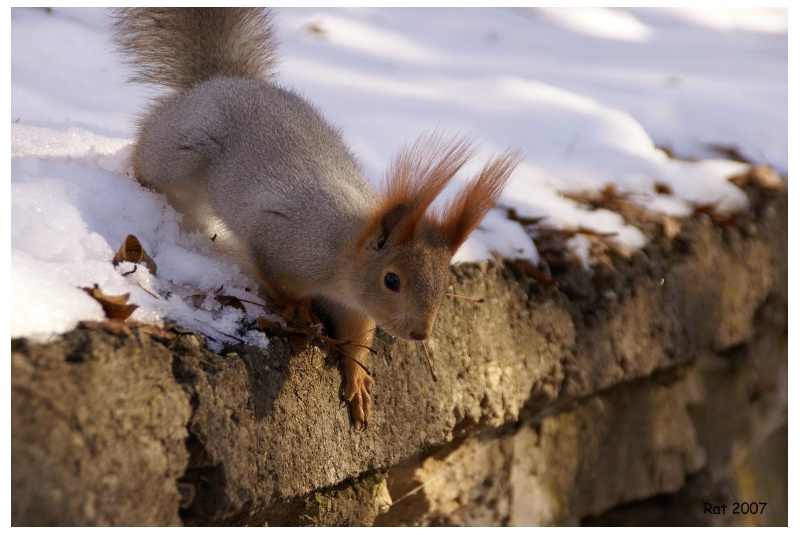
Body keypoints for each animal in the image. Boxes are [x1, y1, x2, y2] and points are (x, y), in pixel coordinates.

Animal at [112, 8, 520, 429]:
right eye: (391, 280)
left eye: (444, 284)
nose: (420, 334)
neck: (341, 255)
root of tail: (221, 81)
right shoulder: (279, 242)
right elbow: (277, 279)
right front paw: (298, 309)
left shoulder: (355, 307)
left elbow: (358, 336)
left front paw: (357, 379)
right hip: (178, 153)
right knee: (149, 160)